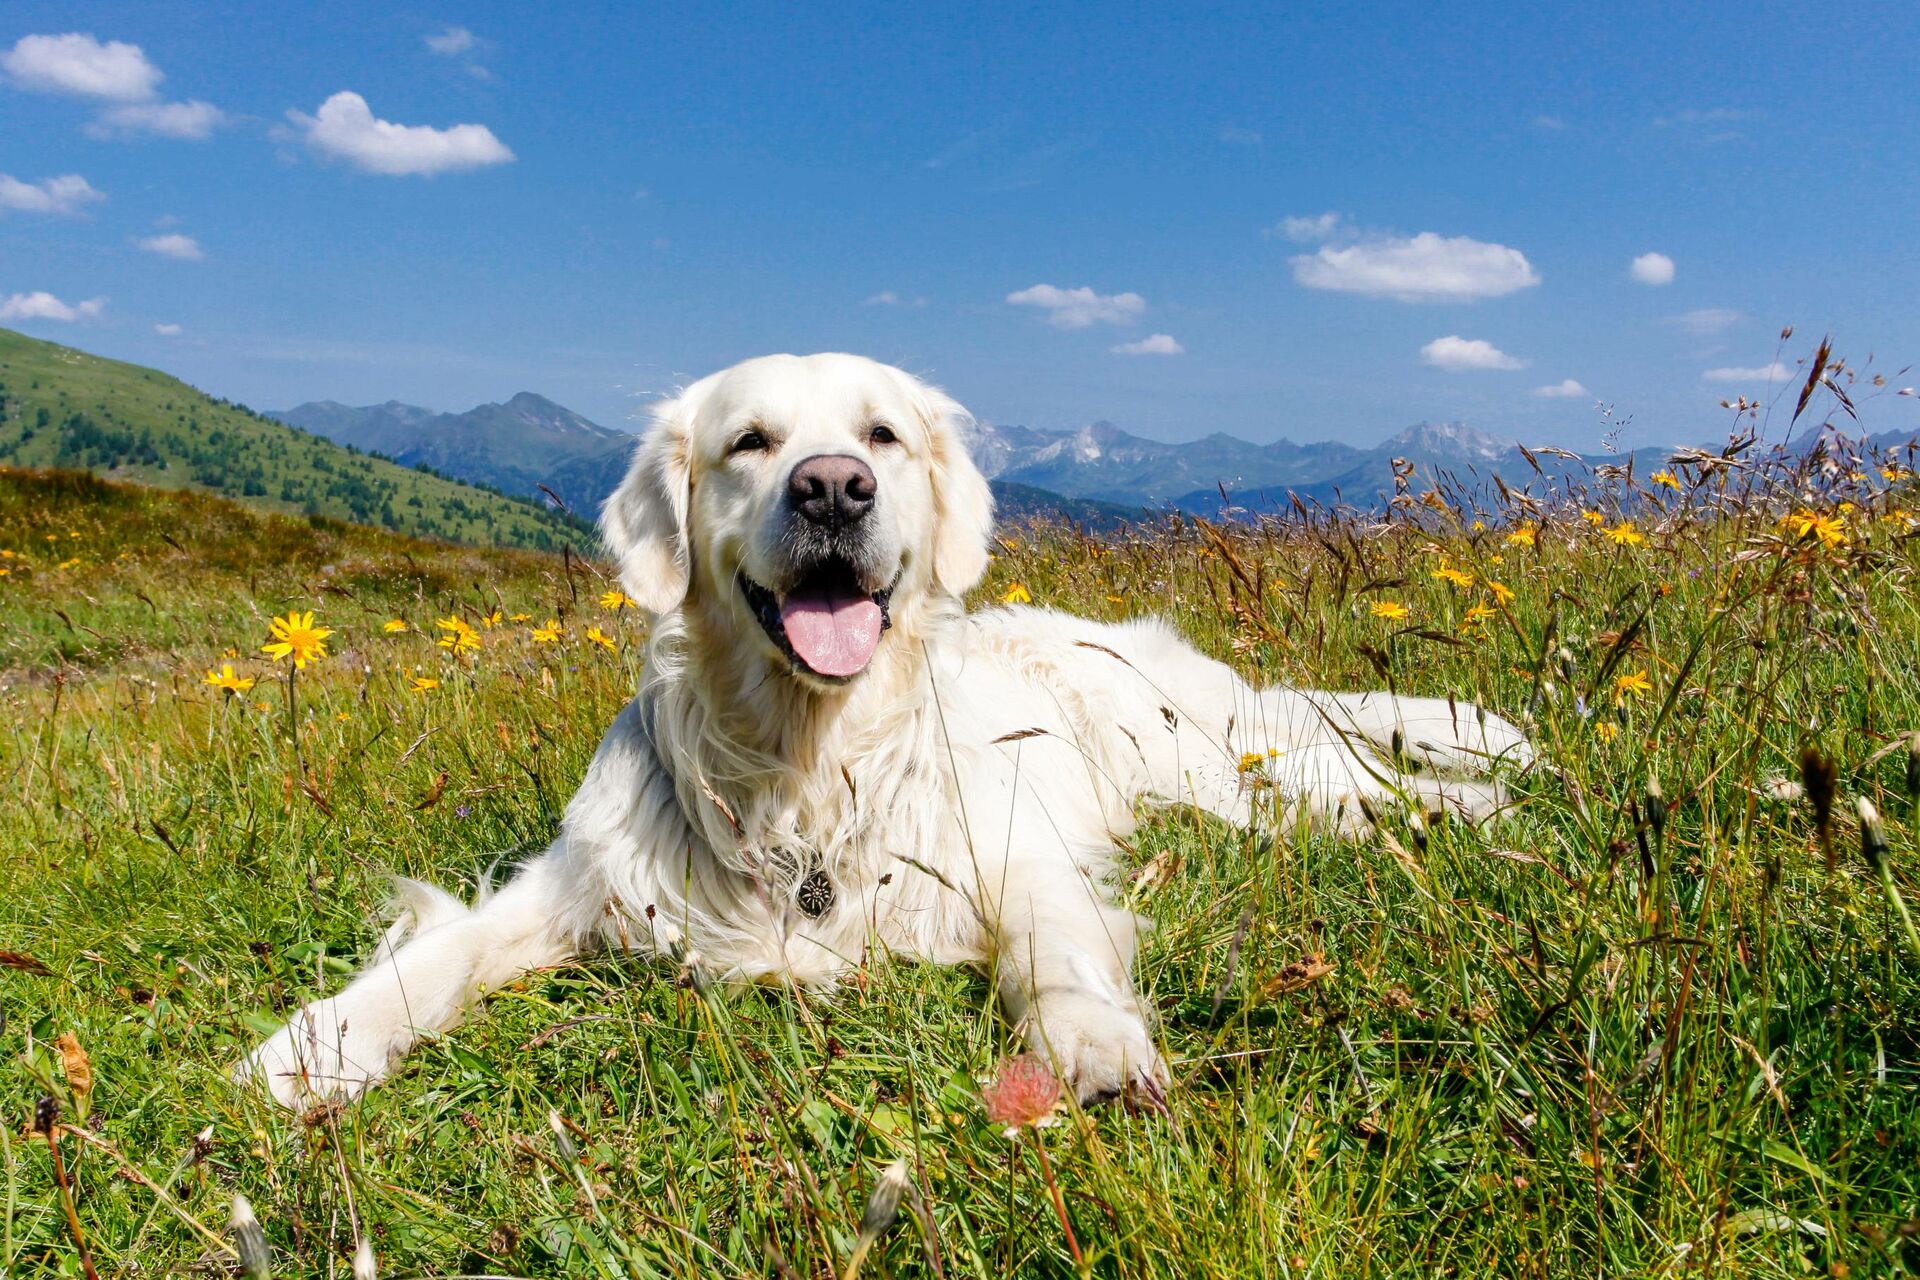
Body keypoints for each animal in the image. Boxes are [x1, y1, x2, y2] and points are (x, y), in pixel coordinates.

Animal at [243, 353, 1528, 1113]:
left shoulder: (1015, 850)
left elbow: (1053, 946)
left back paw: (1466, 783)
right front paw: (322, 1038)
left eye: (883, 436)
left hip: (1177, 750)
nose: (831, 488)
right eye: (750, 442)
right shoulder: (580, 878)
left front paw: (1094, 1042)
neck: (808, 764)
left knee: (1311, 757)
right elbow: (444, 951)